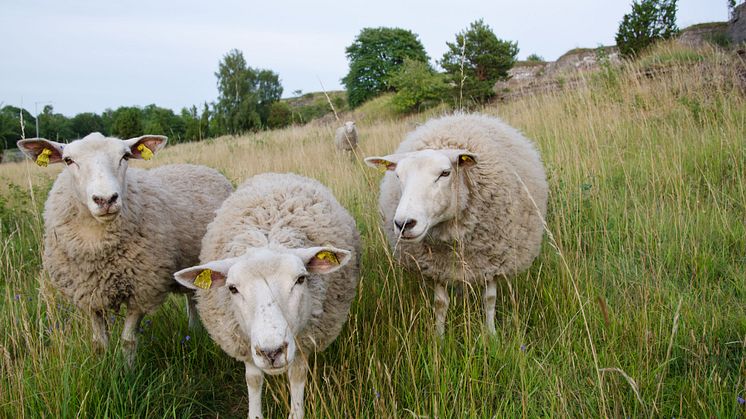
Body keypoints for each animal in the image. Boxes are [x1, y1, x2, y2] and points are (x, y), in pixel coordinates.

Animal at [18, 133, 232, 366]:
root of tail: (198, 167)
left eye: (125, 156)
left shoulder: (143, 290)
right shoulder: (89, 294)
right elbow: (99, 343)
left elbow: (128, 341)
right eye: (68, 160)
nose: (105, 199)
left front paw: (128, 370)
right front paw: (102, 367)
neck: (97, 244)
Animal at [174, 172, 360, 418]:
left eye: (300, 279)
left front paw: (296, 413)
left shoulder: (302, 340)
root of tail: (281, 174)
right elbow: (253, 379)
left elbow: (297, 375)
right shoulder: (245, 343)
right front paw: (255, 413)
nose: (271, 353)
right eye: (233, 288)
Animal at [366, 113, 548, 336]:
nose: (404, 224)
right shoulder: (436, 266)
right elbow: (440, 304)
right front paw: (440, 337)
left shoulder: (494, 260)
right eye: (398, 175)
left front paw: (491, 334)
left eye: (445, 173)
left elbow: (489, 299)